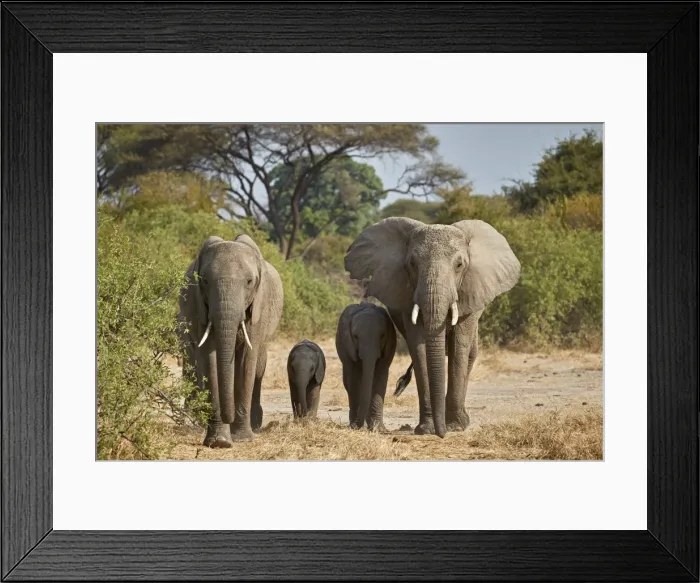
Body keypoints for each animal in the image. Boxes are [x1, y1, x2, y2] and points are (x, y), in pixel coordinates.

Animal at [177, 234, 284, 447]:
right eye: (205, 281)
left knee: (258, 364)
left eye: (250, 282)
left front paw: (242, 439)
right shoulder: (198, 306)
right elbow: (210, 361)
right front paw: (219, 442)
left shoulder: (259, 308)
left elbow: (247, 360)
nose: (229, 417)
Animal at [335, 301, 397, 432]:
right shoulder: (348, 345)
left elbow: (380, 376)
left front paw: (378, 429)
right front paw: (354, 426)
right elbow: (353, 377)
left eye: (382, 336)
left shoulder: (389, 345)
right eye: (355, 336)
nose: (358, 425)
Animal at [344, 218, 520, 438]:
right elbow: (419, 348)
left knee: (470, 354)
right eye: (412, 264)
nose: (441, 434)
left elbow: (459, 347)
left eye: (459, 265)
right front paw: (426, 429)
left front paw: (454, 427)